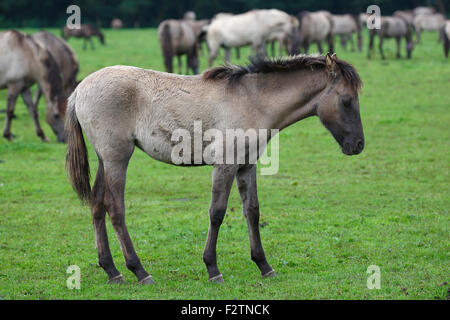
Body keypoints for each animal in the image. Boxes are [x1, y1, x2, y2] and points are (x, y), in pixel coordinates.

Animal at [65, 53, 364, 284]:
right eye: (347, 100)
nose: (358, 145)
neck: (252, 101)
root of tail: (79, 90)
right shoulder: (225, 164)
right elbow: (217, 213)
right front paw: (212, 268)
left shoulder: (246, 165)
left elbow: (252, 211)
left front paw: (264, 265)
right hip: (117, 158)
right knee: (115, 208)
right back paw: (139, 271)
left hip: (105, 160)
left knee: (96, 205)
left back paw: (111, 270)